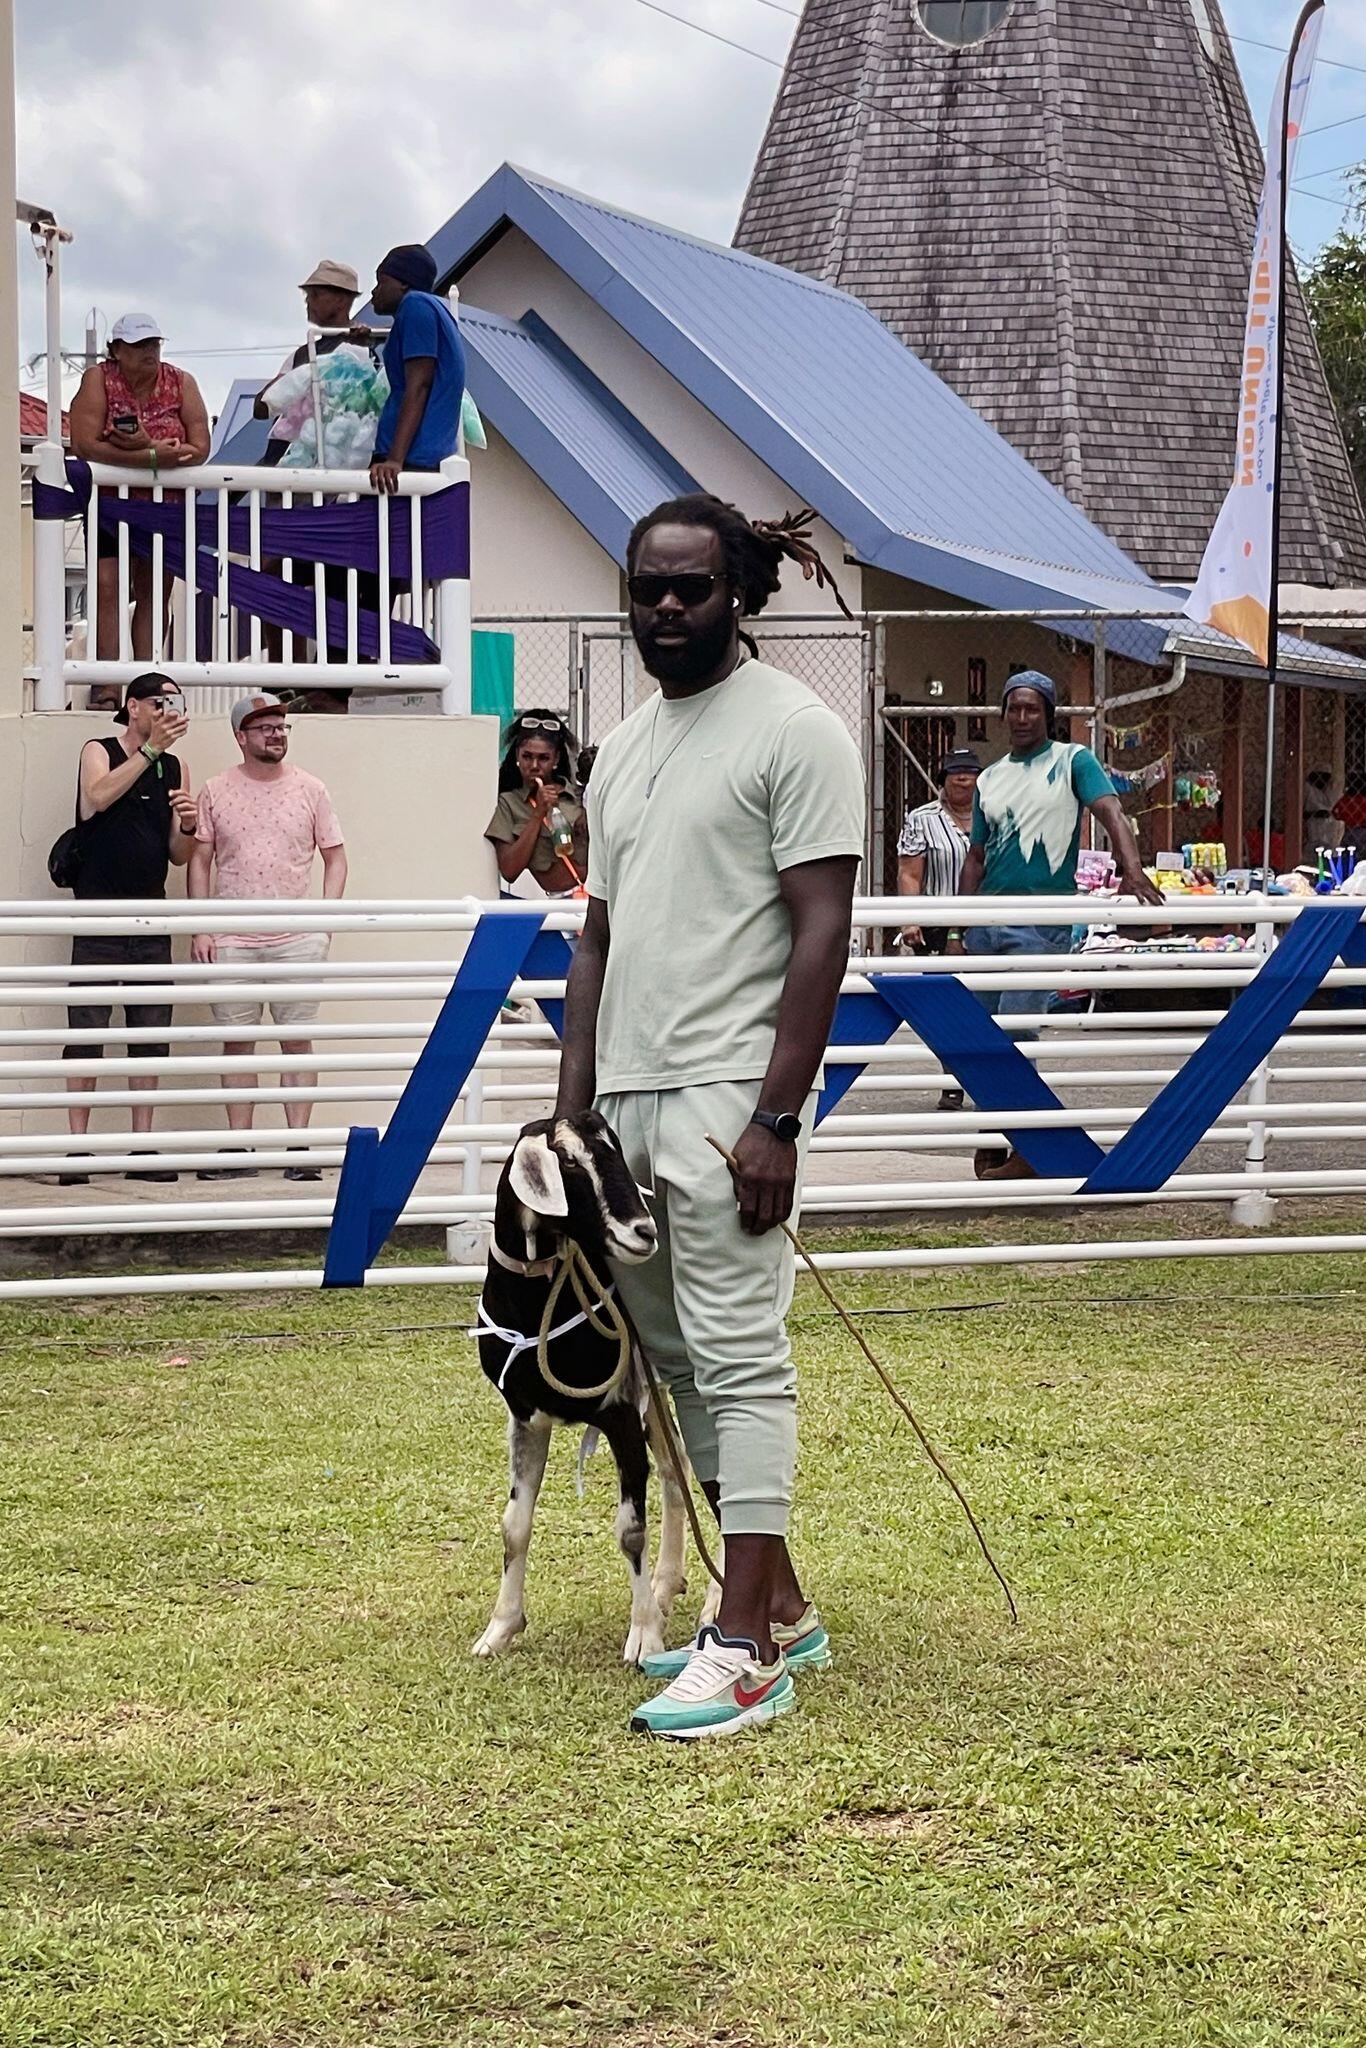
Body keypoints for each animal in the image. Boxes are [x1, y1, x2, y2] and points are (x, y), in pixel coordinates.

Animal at [470, 1112, 689, 1666]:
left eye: (616, 1151)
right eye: (569, 1162)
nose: (643, 1232)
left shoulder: (620, 1415)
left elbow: (630, 1530)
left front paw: (644, 1636)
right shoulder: (526, 1415)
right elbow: (514, 1524)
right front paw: (500, 1628)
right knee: (676, 1473)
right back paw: (665, 1586)